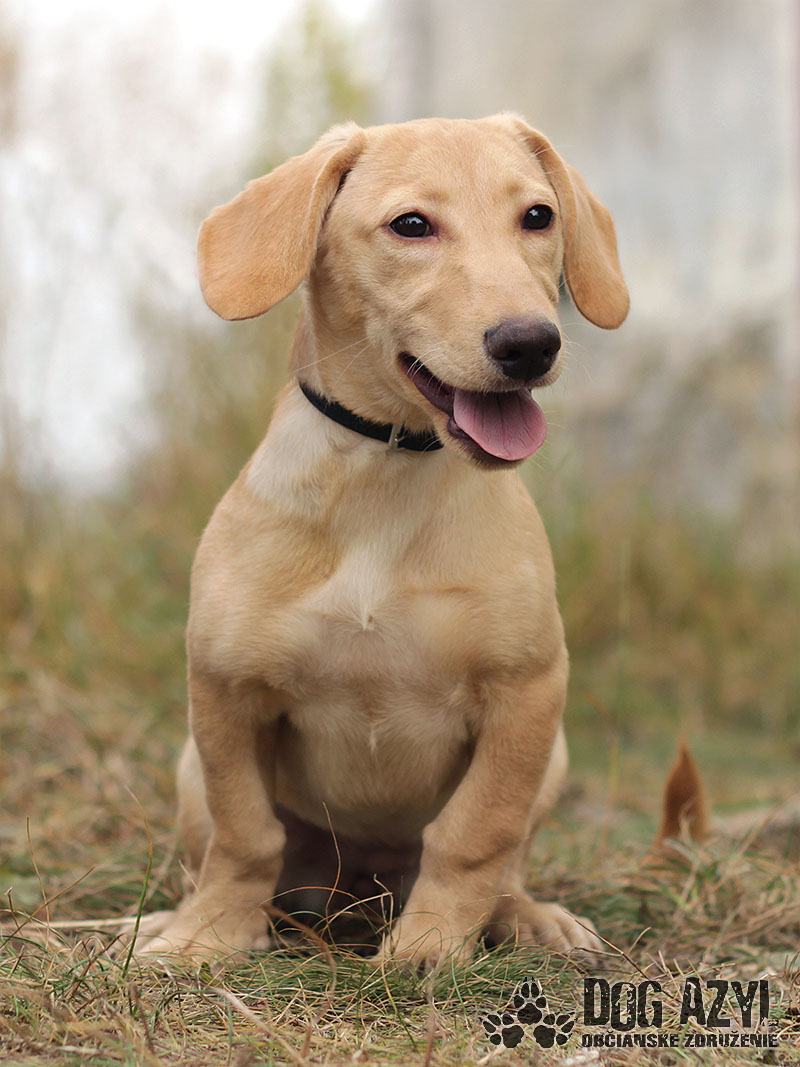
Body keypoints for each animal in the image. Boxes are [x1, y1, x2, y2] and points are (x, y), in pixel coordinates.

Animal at [135, 114, 629, 967]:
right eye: (412, 225)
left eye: (538, 216)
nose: (531, 343)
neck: (386, 474)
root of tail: (356, 885)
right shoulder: (226, 689)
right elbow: (244, 834)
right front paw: (211, 935)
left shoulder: (528, 691)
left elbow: (475, 832)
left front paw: (431, 945)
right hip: (190, 763)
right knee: (220, 852)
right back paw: (177, 914)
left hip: (553, 758)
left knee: (506, 866)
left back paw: (527, 917)